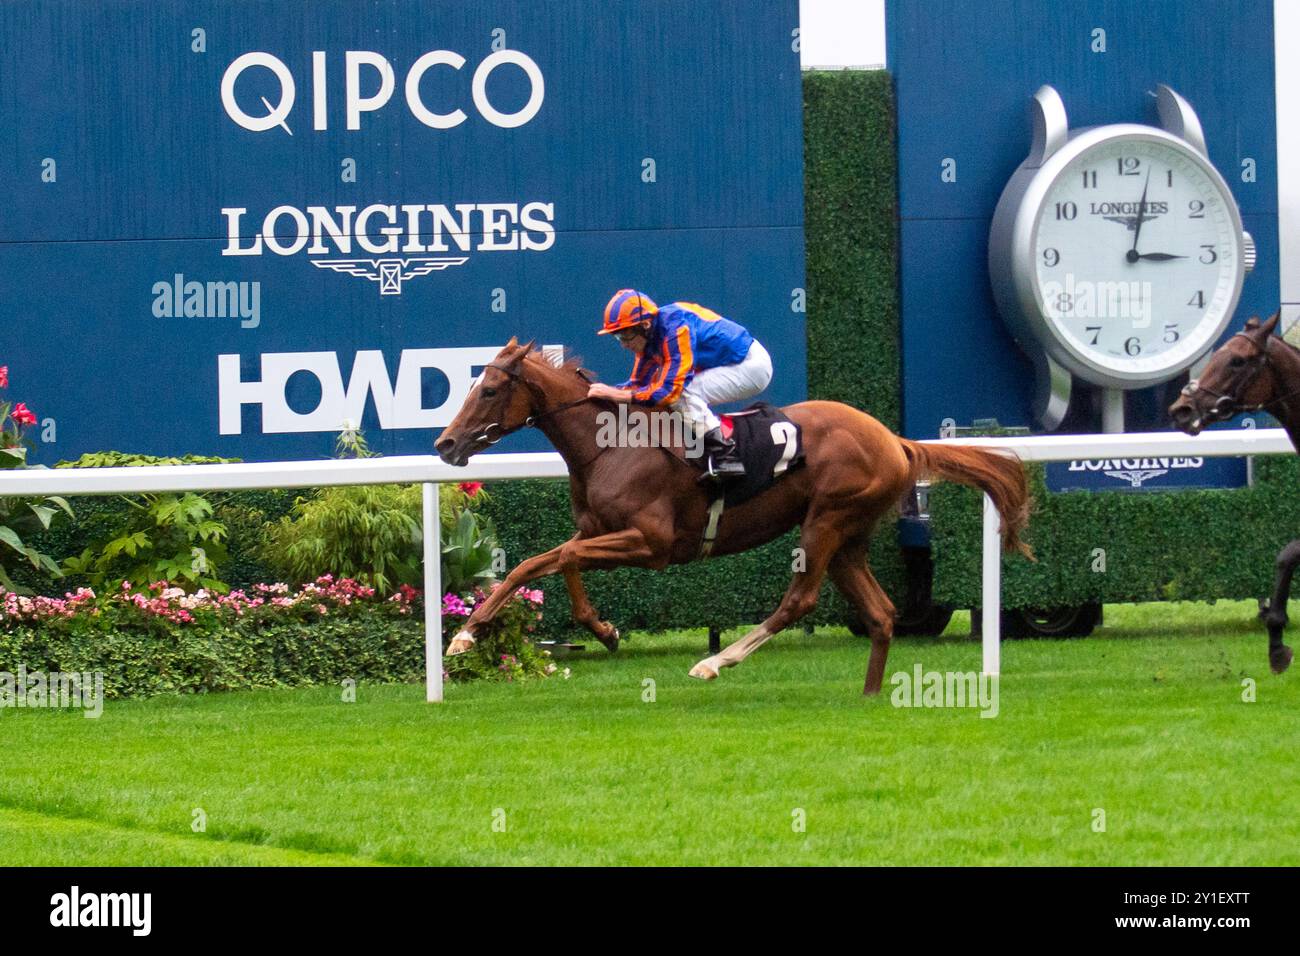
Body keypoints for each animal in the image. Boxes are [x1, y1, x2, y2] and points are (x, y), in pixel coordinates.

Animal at [436, 340, 1034, 691]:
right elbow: (537, 563)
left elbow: (562, 561)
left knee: (800, 600)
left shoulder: (652, 544)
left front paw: (602, 629)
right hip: (848, 536)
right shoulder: (599, 531)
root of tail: (894, 440)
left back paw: (715, 662)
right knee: (882, 613)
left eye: (489, 389)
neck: (612, 445)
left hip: (826, 521)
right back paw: (868, 692)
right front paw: (467, 635)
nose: (445, 444)